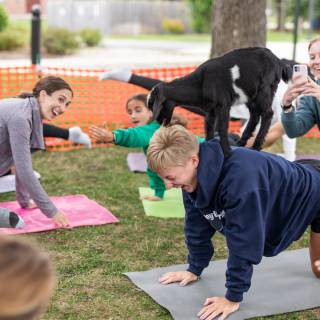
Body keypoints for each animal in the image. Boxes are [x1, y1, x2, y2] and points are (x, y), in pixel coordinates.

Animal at [148, 47, 292, 157]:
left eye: (155, 106)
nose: (160, 123)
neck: (200, 83)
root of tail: (278, 61)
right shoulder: (210, 110)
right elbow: (209, 127)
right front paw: (210, 144)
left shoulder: (223, 105)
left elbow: (222, 128)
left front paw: (227, 153)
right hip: (250, 94)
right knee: (255, 115)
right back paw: (241, 143)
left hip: (264, 88)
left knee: (267, 113)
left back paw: (255, 146)